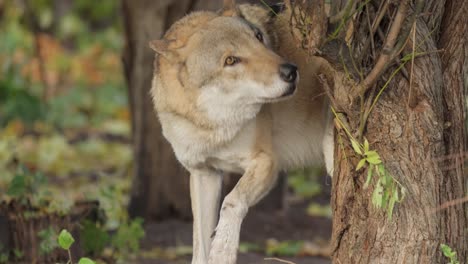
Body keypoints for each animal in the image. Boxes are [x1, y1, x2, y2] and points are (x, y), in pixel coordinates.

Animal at [150, 1, 332, 262]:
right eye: (230, 60)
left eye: (258, 38)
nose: (291, 71)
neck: (212, 128)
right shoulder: (204, 174)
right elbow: (199, 245)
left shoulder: (267, 162)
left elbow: (232, 200)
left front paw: (223, 248)